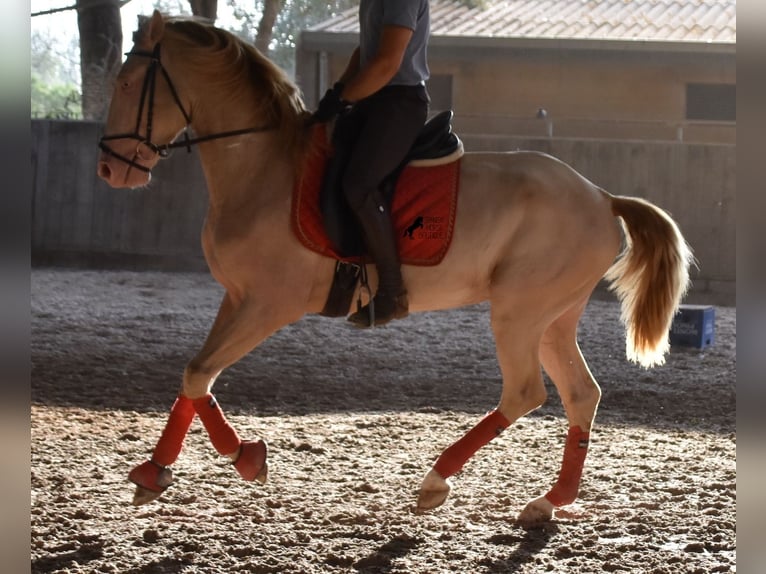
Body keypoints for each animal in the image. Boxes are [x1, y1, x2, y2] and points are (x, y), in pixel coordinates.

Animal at [96, 11, 696, 528]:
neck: (264, 169)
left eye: (126, 84)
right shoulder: (238, 297)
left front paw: (243, 457)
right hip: (553, 317)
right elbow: (195, 373)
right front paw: (157, 471)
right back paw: (549, 501)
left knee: (525, 393)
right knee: (580, 394)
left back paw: (435, 482)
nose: (109, 169)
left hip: (520, 312)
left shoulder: (269, 303)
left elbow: (200, 373)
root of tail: (601, 197)